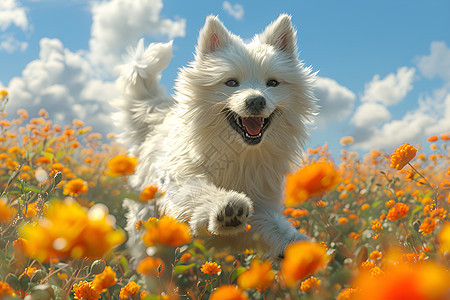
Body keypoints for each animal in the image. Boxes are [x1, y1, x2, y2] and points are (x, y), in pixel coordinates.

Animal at [118, 14, 318, 258]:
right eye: (231, 82)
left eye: (272, 83)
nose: (256, 101)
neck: (239, 154)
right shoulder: (179, 181)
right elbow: (199, 192)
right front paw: (226, 207)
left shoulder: (262, 205)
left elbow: (273, 228)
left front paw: (297, 247)